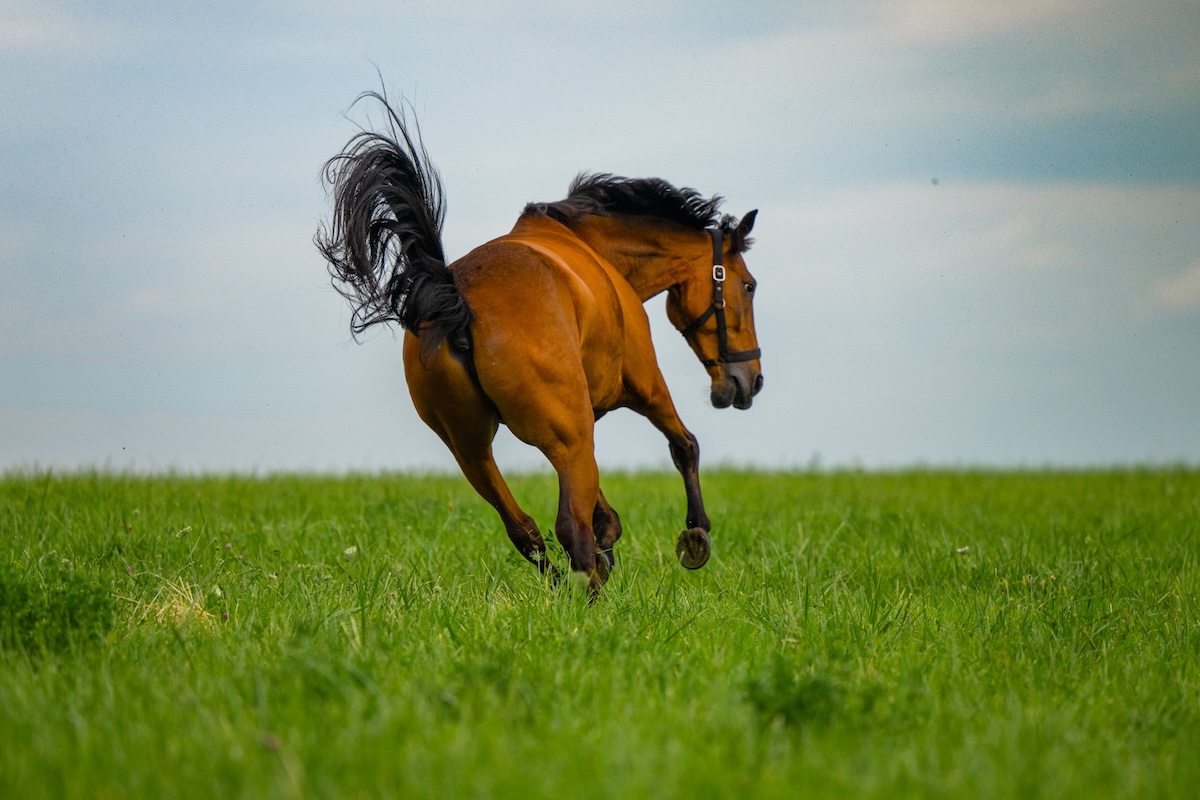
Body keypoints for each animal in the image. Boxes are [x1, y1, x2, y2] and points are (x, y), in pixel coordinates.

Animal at [316, 93, 764, 596]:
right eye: (748, 286)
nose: (751, 380)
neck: (593, 252)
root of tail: (455, 300)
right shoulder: (644, 387)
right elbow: (684, 445)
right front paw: (695, 536)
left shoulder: (580, 421)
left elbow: (604, 515)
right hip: (564, 438)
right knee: (571, 528)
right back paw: (587, 600)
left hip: (473, 449)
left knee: (526, 529)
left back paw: (567, 586)